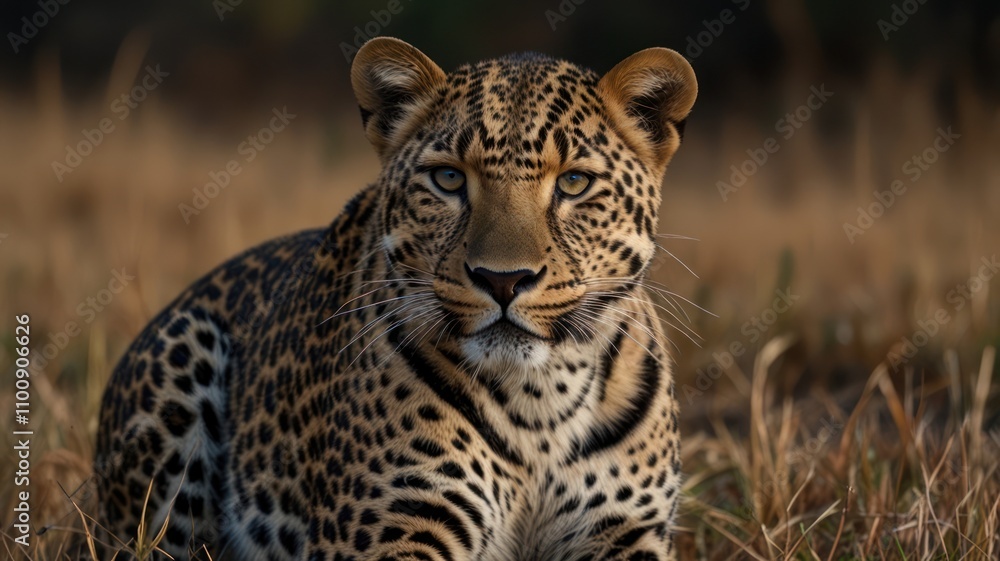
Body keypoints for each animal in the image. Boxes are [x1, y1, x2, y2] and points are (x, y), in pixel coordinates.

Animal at [95, 37, 698, 561]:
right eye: (448, 179)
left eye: (574, 183)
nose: (503, 280)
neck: (540, 403)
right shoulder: (392, 522)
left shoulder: (624, 531)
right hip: (184, 354)